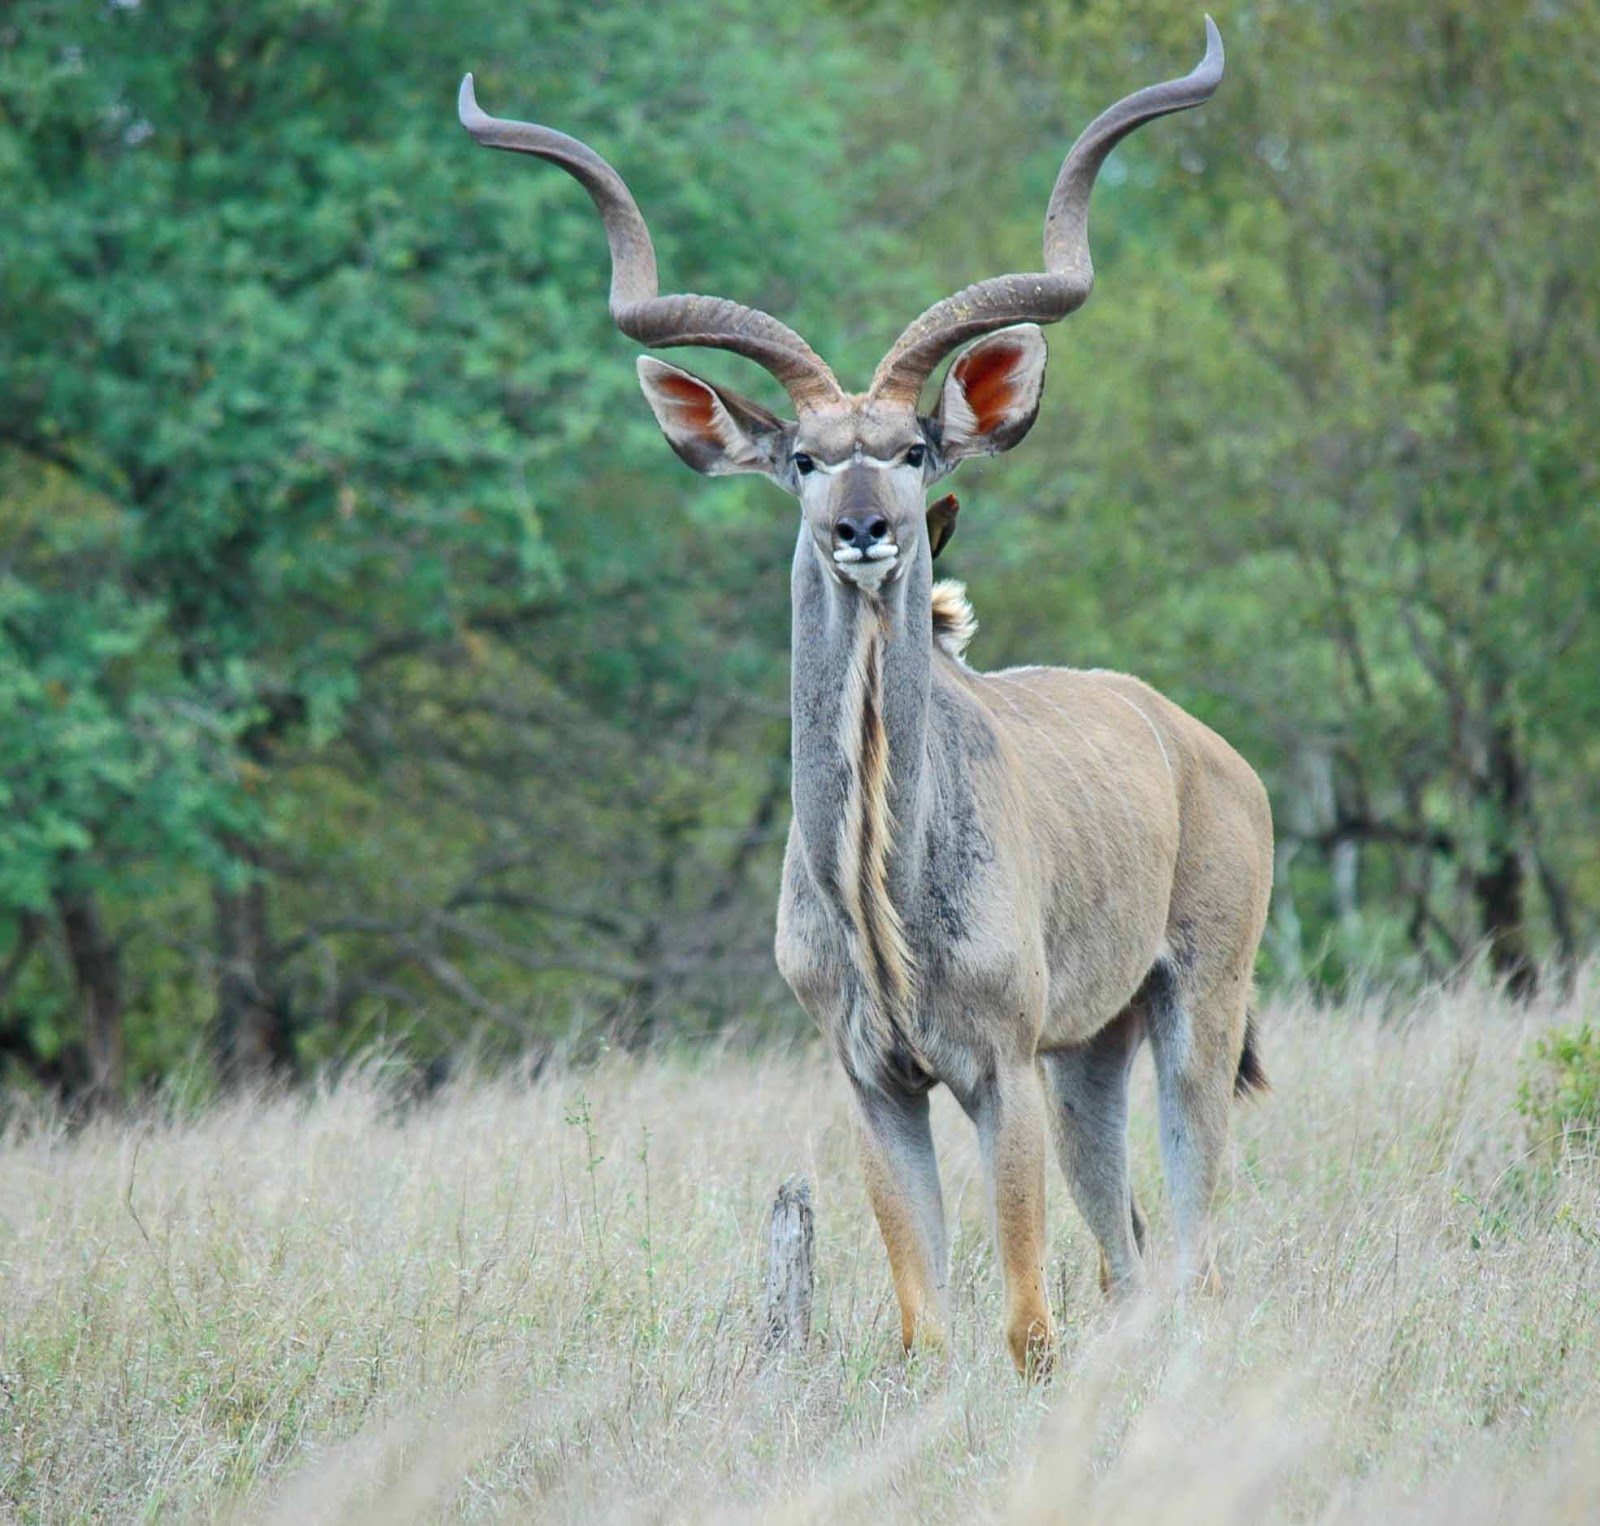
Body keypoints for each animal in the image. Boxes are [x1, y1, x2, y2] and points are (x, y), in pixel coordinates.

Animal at [464, 11, 1273, 1375]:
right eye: (801, 455)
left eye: (912, 449)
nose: (860, 529)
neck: (880, 891)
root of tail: (1214, 755)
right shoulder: (870, 1076)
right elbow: (924, 1322)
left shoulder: (997, 1060)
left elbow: (1023, 1322)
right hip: (1092, 1053)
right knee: (1130, 1249)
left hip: (1191, 1010)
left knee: (1201, 1236)